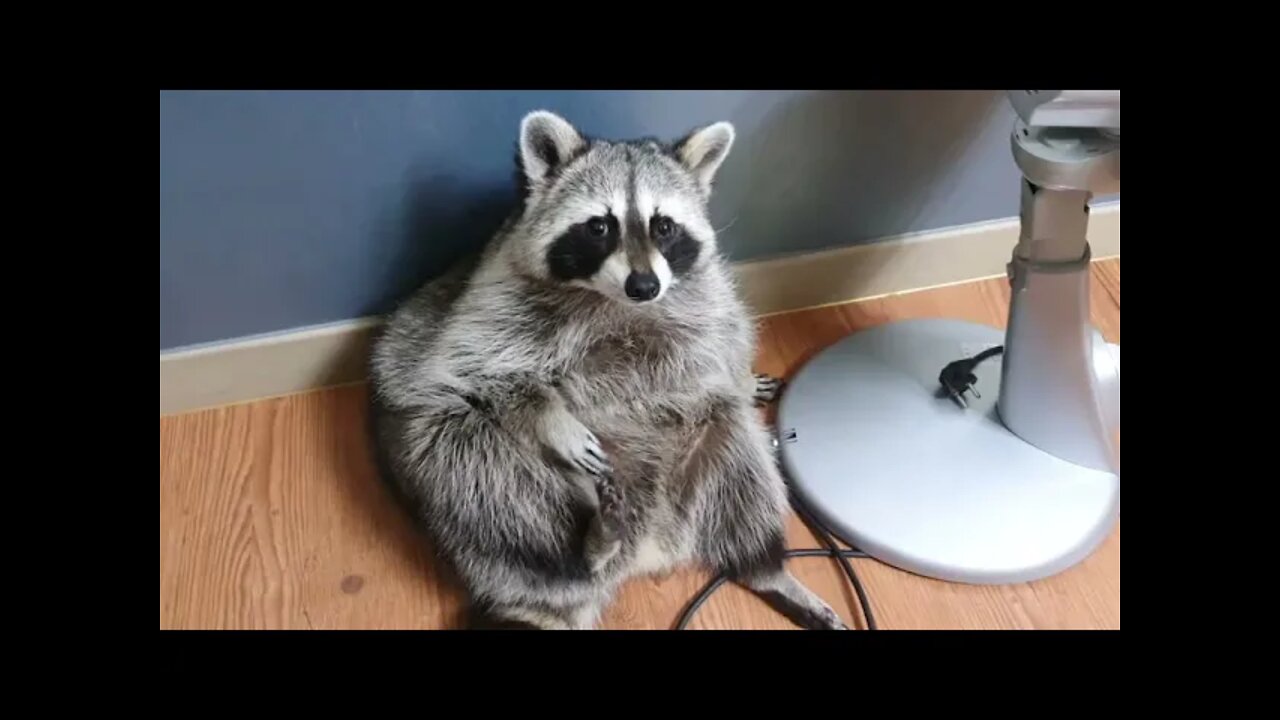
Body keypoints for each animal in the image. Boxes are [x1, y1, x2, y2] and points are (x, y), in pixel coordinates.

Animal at [368, 107, 849, 627]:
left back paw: (766, 568)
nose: (644, 285)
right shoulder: (491, 305)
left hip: (709, 453)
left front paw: (740, 375)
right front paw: (549, 415)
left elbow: (723, 345)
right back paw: (584, 552)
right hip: (448, 460)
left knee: (740, 454)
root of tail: (648, 548)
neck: (616, 300)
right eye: (600, 227)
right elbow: (474, 368)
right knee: (479, 467)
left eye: (664, 226)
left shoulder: (705, 297)